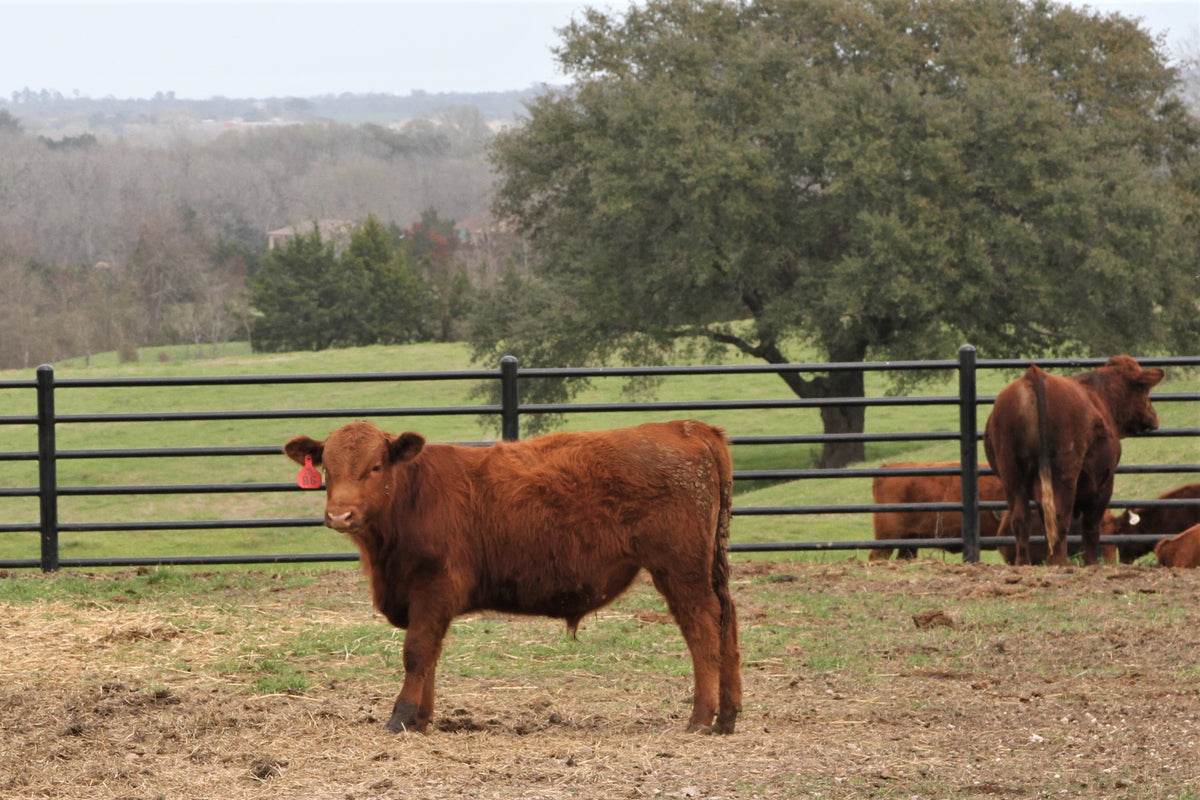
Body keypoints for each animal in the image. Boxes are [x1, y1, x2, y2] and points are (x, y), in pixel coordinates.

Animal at [284, 419, 742, 735]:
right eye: (327, 468)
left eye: (376, 466)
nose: (340, 515)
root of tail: (686, 427)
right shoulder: (423, 600)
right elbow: (429, 654)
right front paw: (422, 719)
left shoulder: (433, 587)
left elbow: (416, 652)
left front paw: (401, 717)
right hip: (707, 568)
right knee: (727, 621)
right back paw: (728, 716)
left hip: (680, 569)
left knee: (702, 629)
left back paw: (701, 718)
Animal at [983, 355, 1164, 567]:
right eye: (1144, 390)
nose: (1154, 417)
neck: (1099, 395)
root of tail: (1034, 375)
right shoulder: (1103, 482)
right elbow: (1091, 526)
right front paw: (1092, 563)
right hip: (1064, 474)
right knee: (1061, 517)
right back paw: (1061, 562)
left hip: (1013, 474)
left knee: (1021, 519)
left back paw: (1025, 562)